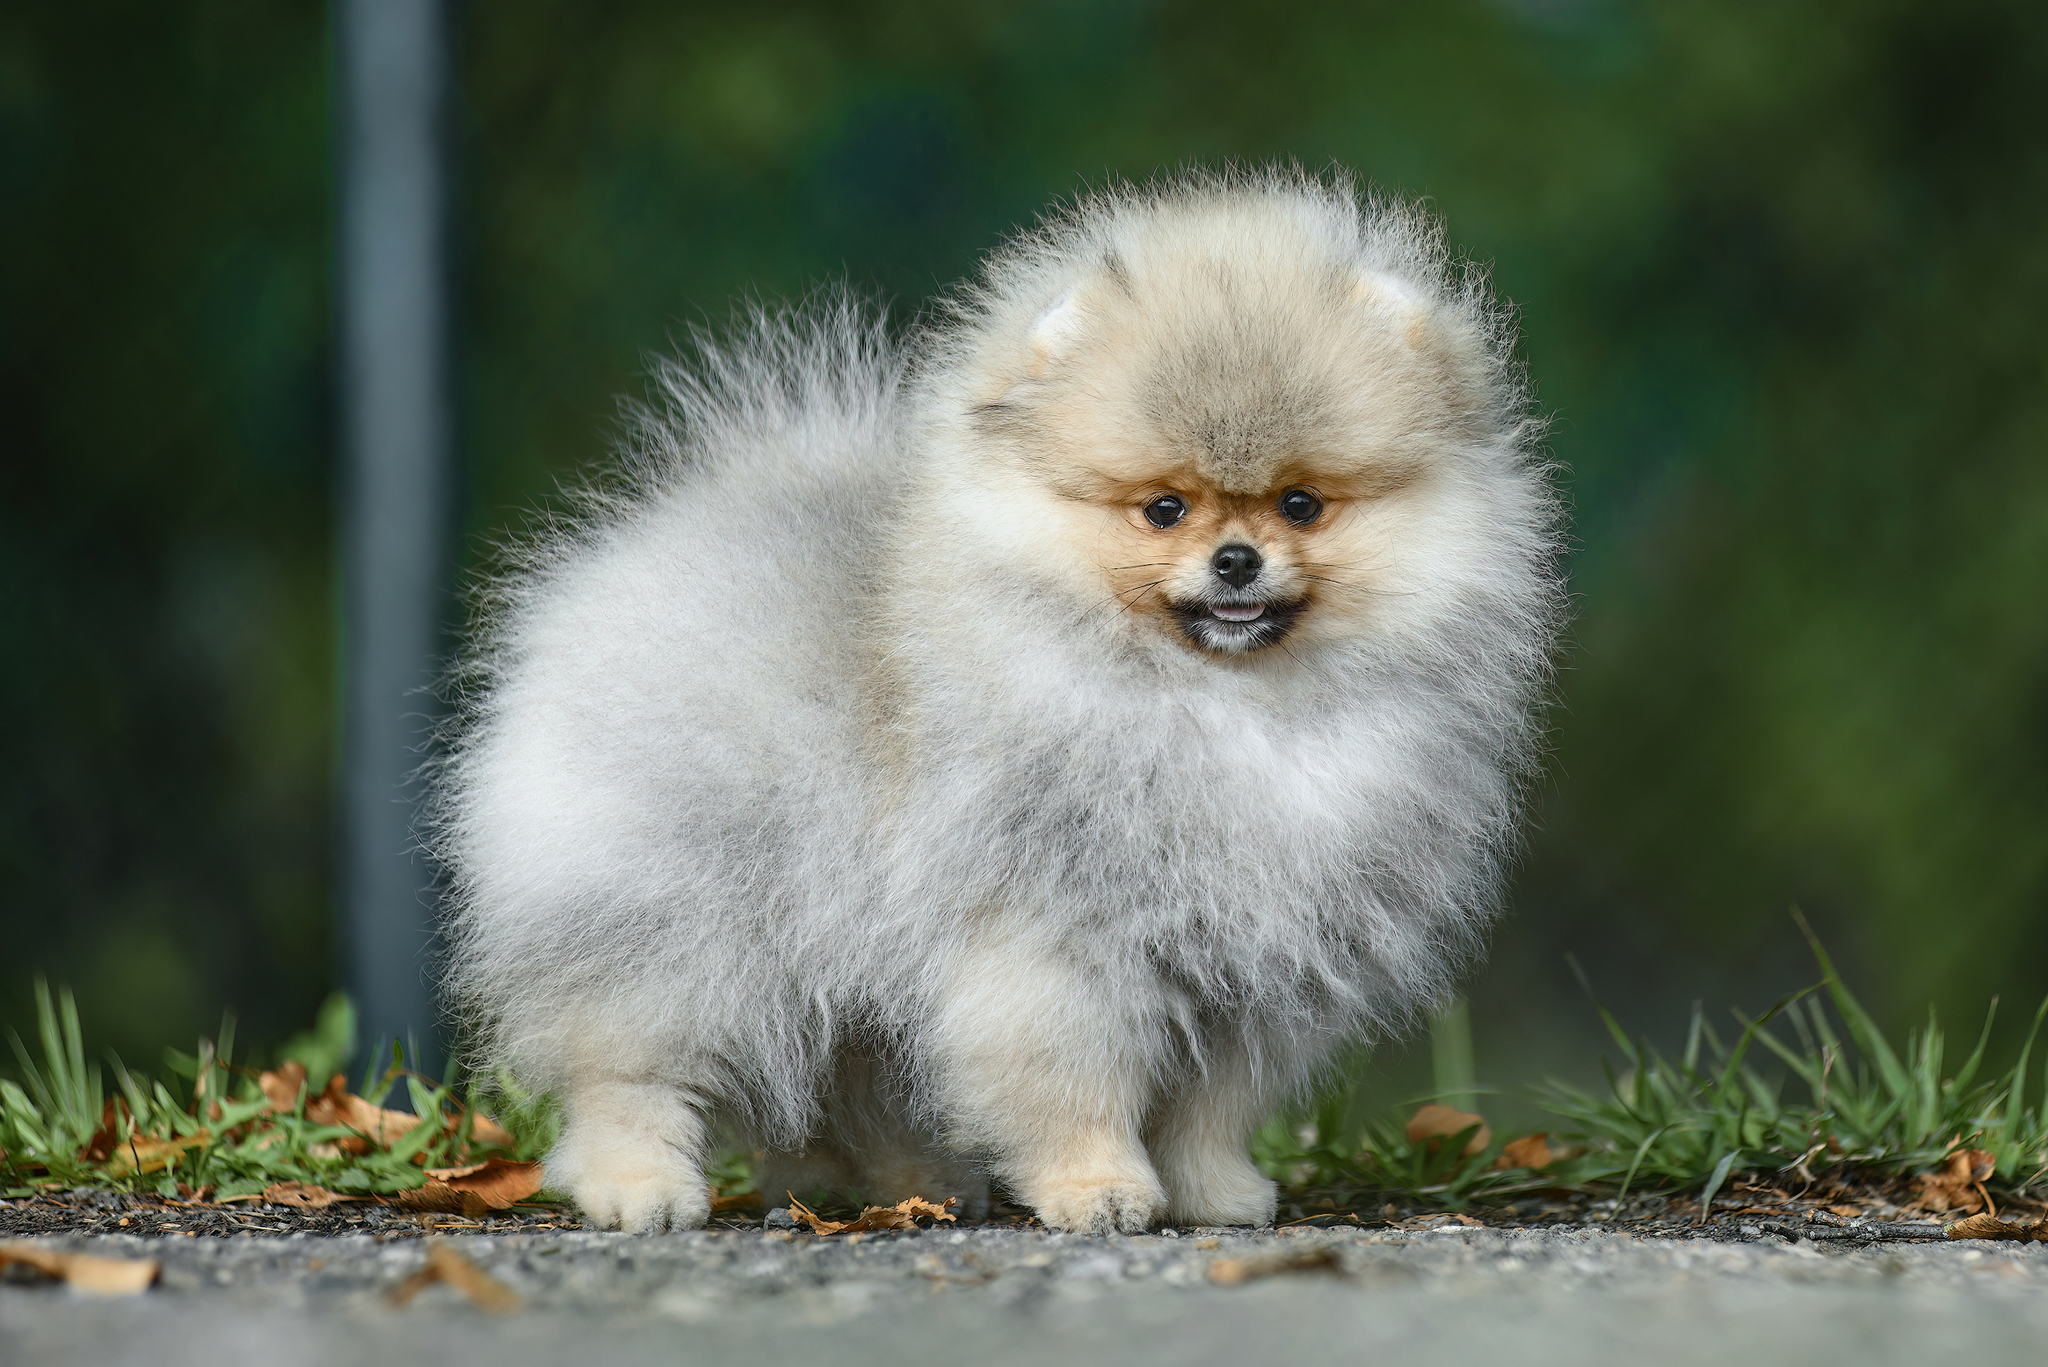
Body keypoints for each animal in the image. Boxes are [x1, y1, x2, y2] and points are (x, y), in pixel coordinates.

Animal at [428, 166, 1548, 1237]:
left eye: (1301, 504)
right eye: (1164, 507)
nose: (1236, 559)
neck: (1218, 701)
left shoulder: (1255, 963)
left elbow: (1208, 1104)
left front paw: (1211, 1189)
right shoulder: (1055, 933)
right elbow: (1071, 1080)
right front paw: (1097, 1187)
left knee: (858, 1072)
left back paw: (913, 1181)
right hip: (685, 912)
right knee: (628, 1062)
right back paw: (640, 1184)